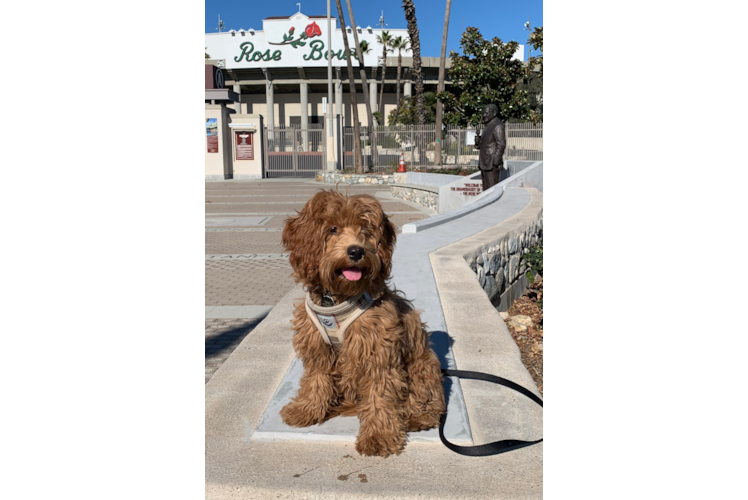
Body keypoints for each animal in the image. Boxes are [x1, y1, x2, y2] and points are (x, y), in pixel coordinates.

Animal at [280, 189, 444, 458]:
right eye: (333, 229)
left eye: (365, 230)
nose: (356, 251)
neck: (337, 297)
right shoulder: (317, 346)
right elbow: (316, 379)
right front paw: (305, 409)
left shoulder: (378, 350)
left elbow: (380, 394)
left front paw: (379, 436)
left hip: (423, 364)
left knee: (428, 398)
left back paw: (417, 416)